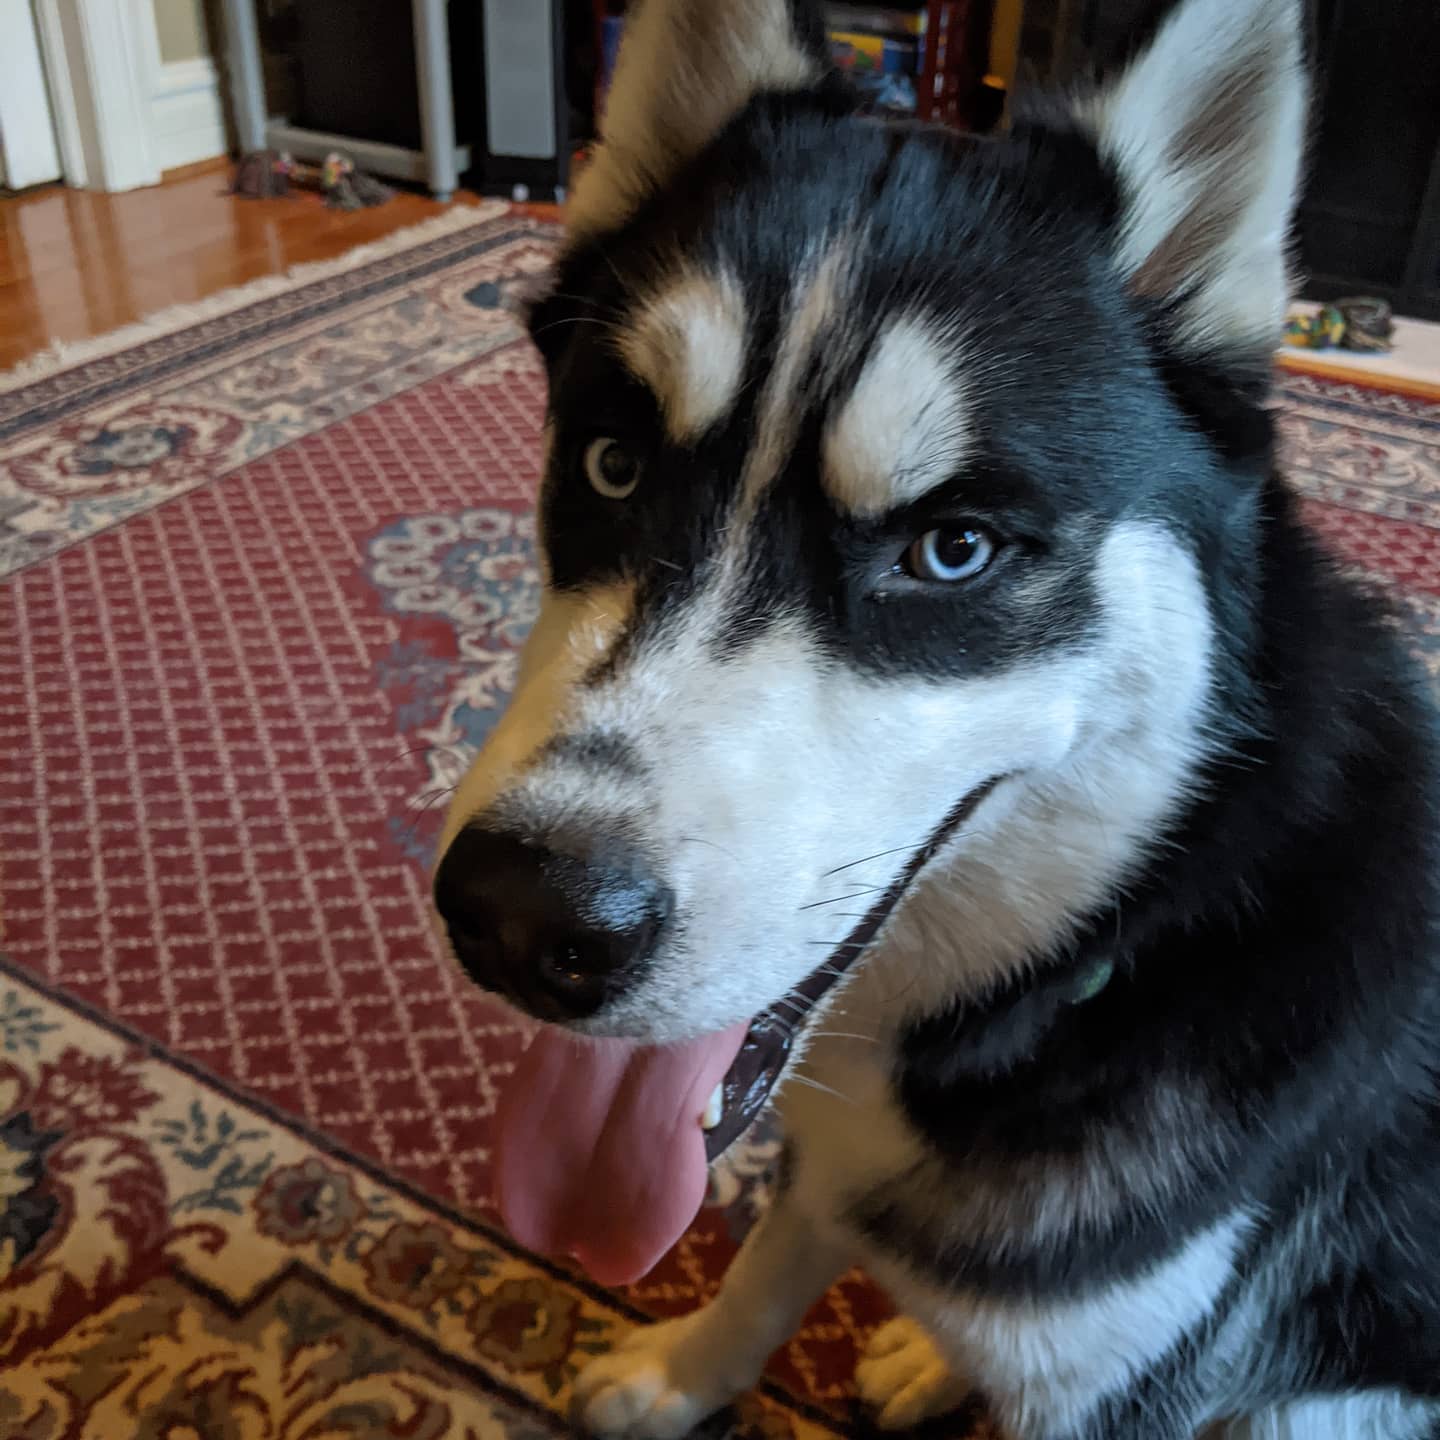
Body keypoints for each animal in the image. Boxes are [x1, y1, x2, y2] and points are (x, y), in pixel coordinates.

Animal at [432, 0, 1440, 1434]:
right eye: (612, 464)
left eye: (953, 550)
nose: (522, 918)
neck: (1103, 957)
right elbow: (775, 1260)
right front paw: (683, 1375)